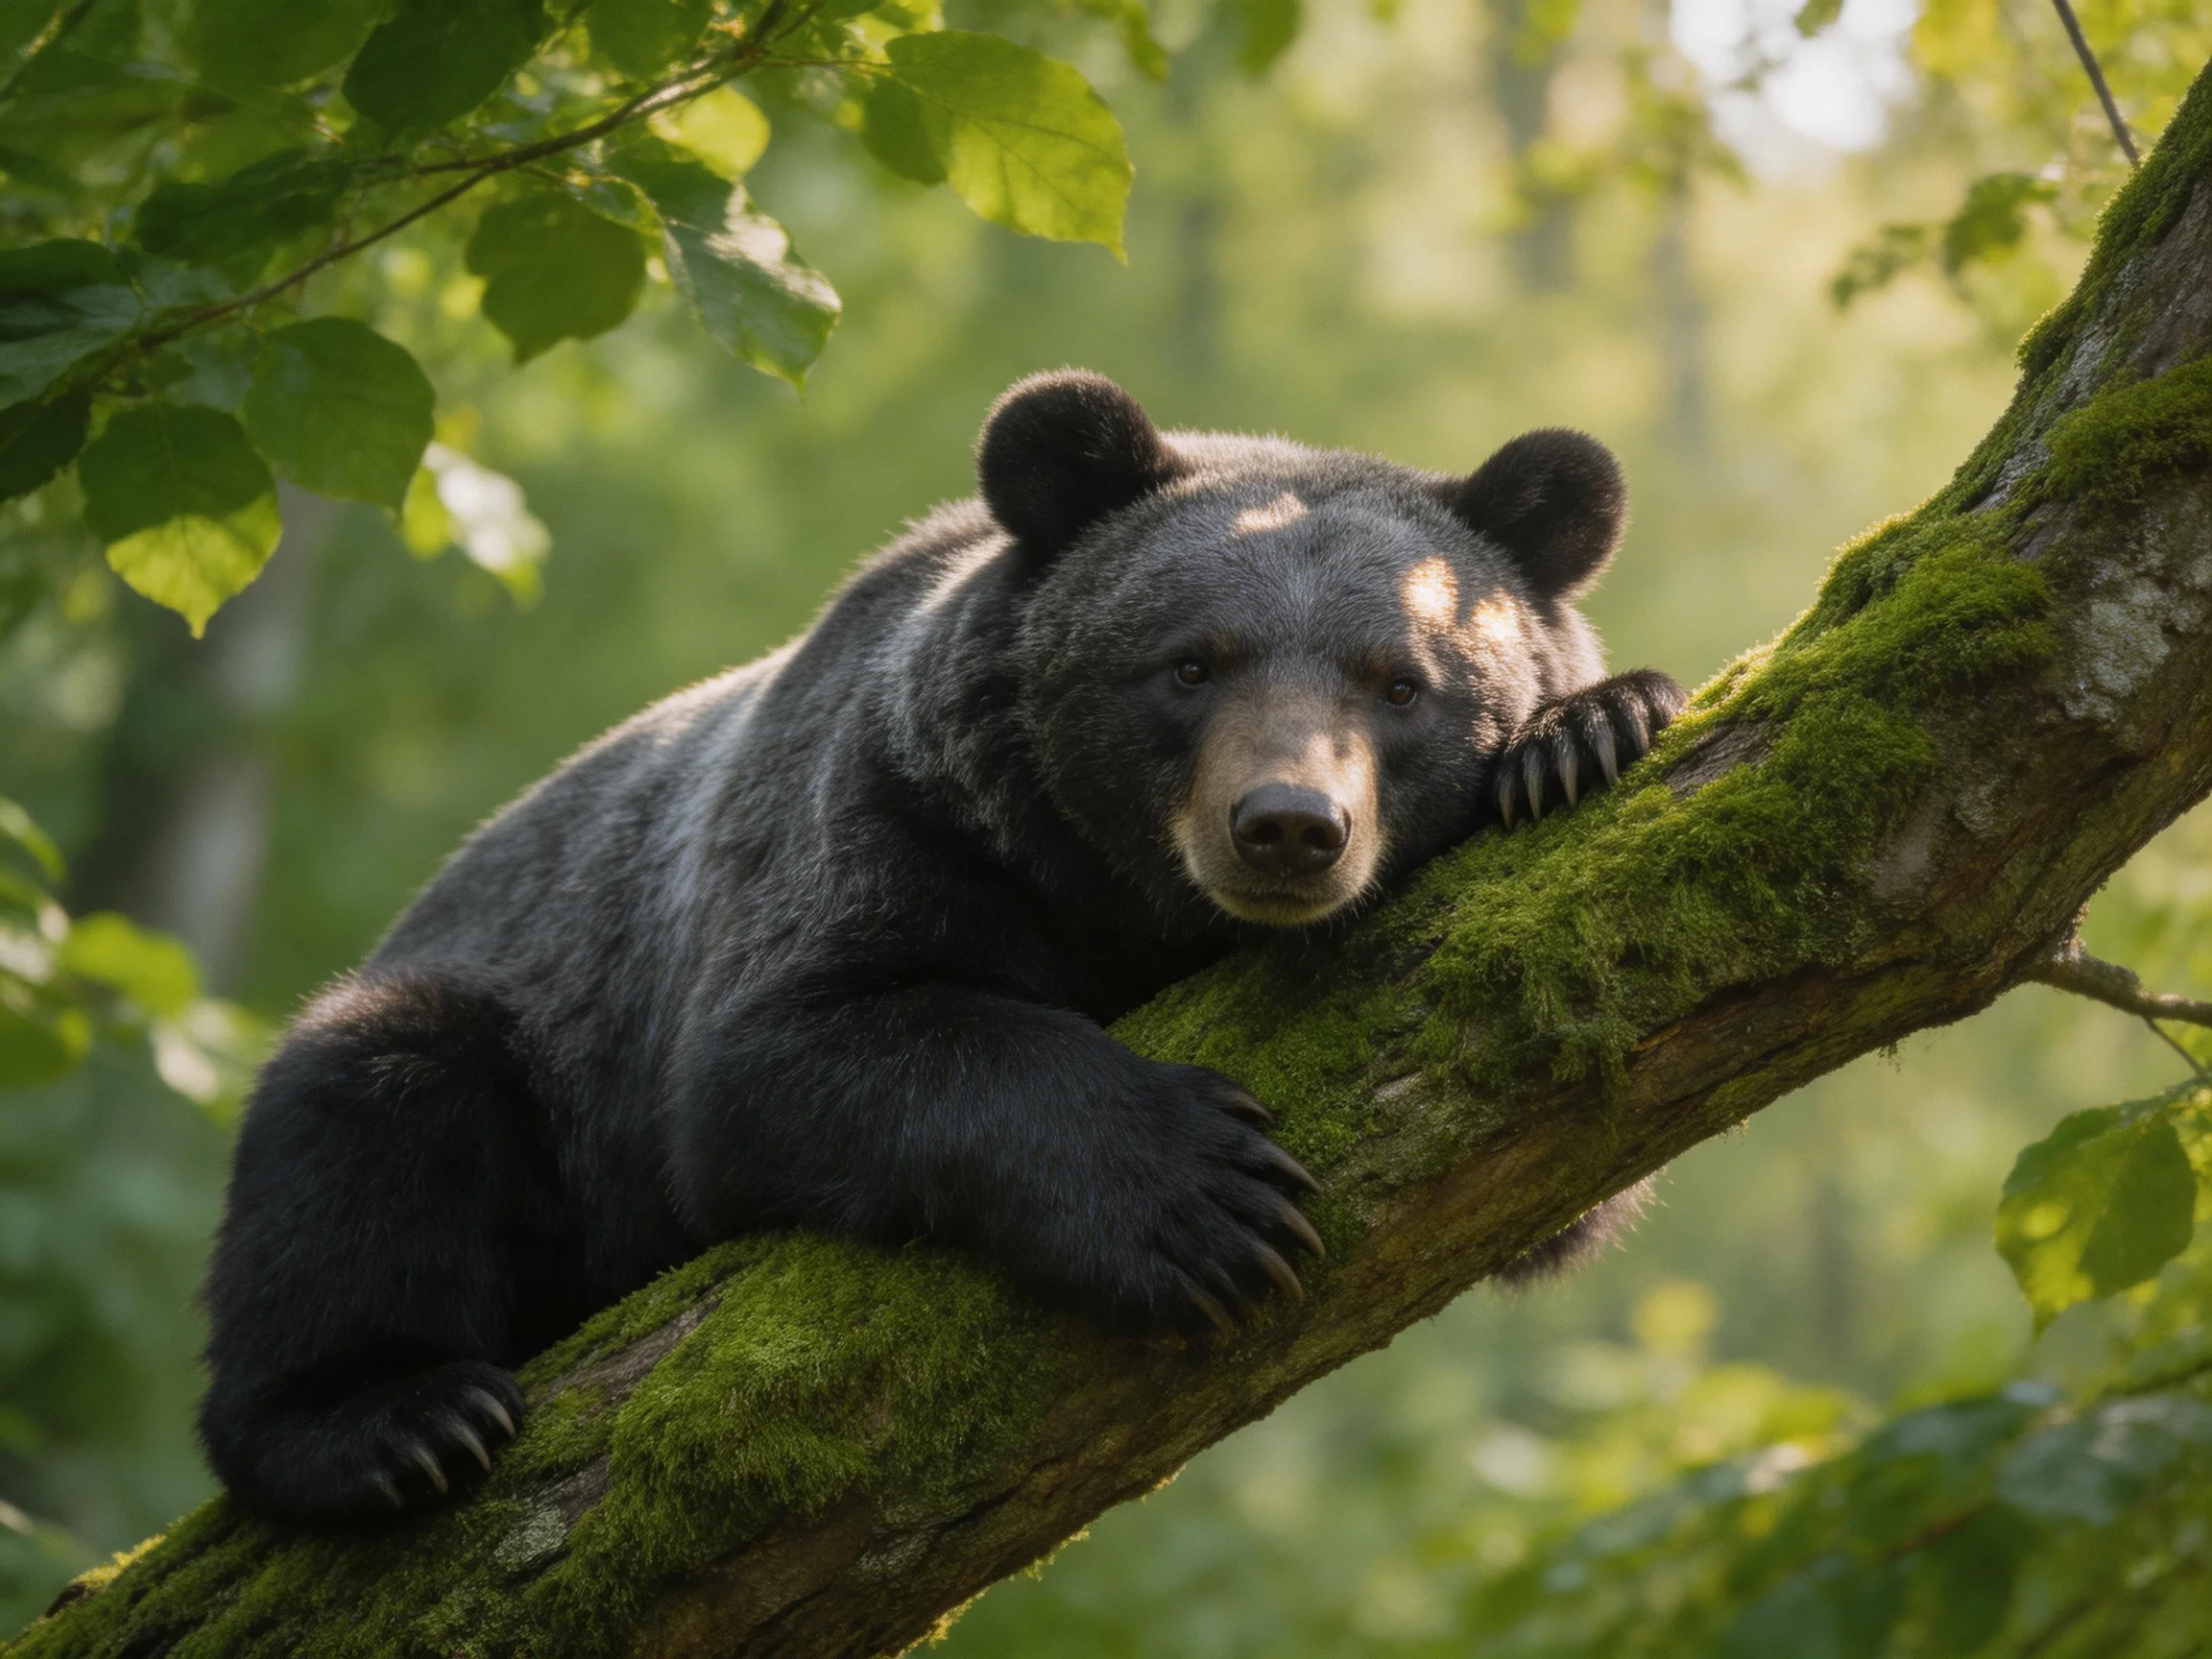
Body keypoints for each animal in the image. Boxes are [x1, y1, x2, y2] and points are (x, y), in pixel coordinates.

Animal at [197, 370, 1686, 1521]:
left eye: (1400, 682)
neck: (1127, 906)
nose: (1287, 829)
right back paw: (396, 1419)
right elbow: (799, 1049)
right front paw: (1205, 1194)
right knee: (369, 1113)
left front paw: (1589, 728)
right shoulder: (884, 831)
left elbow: (1557, 1163)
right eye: (1191, 662)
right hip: (516, 1030)